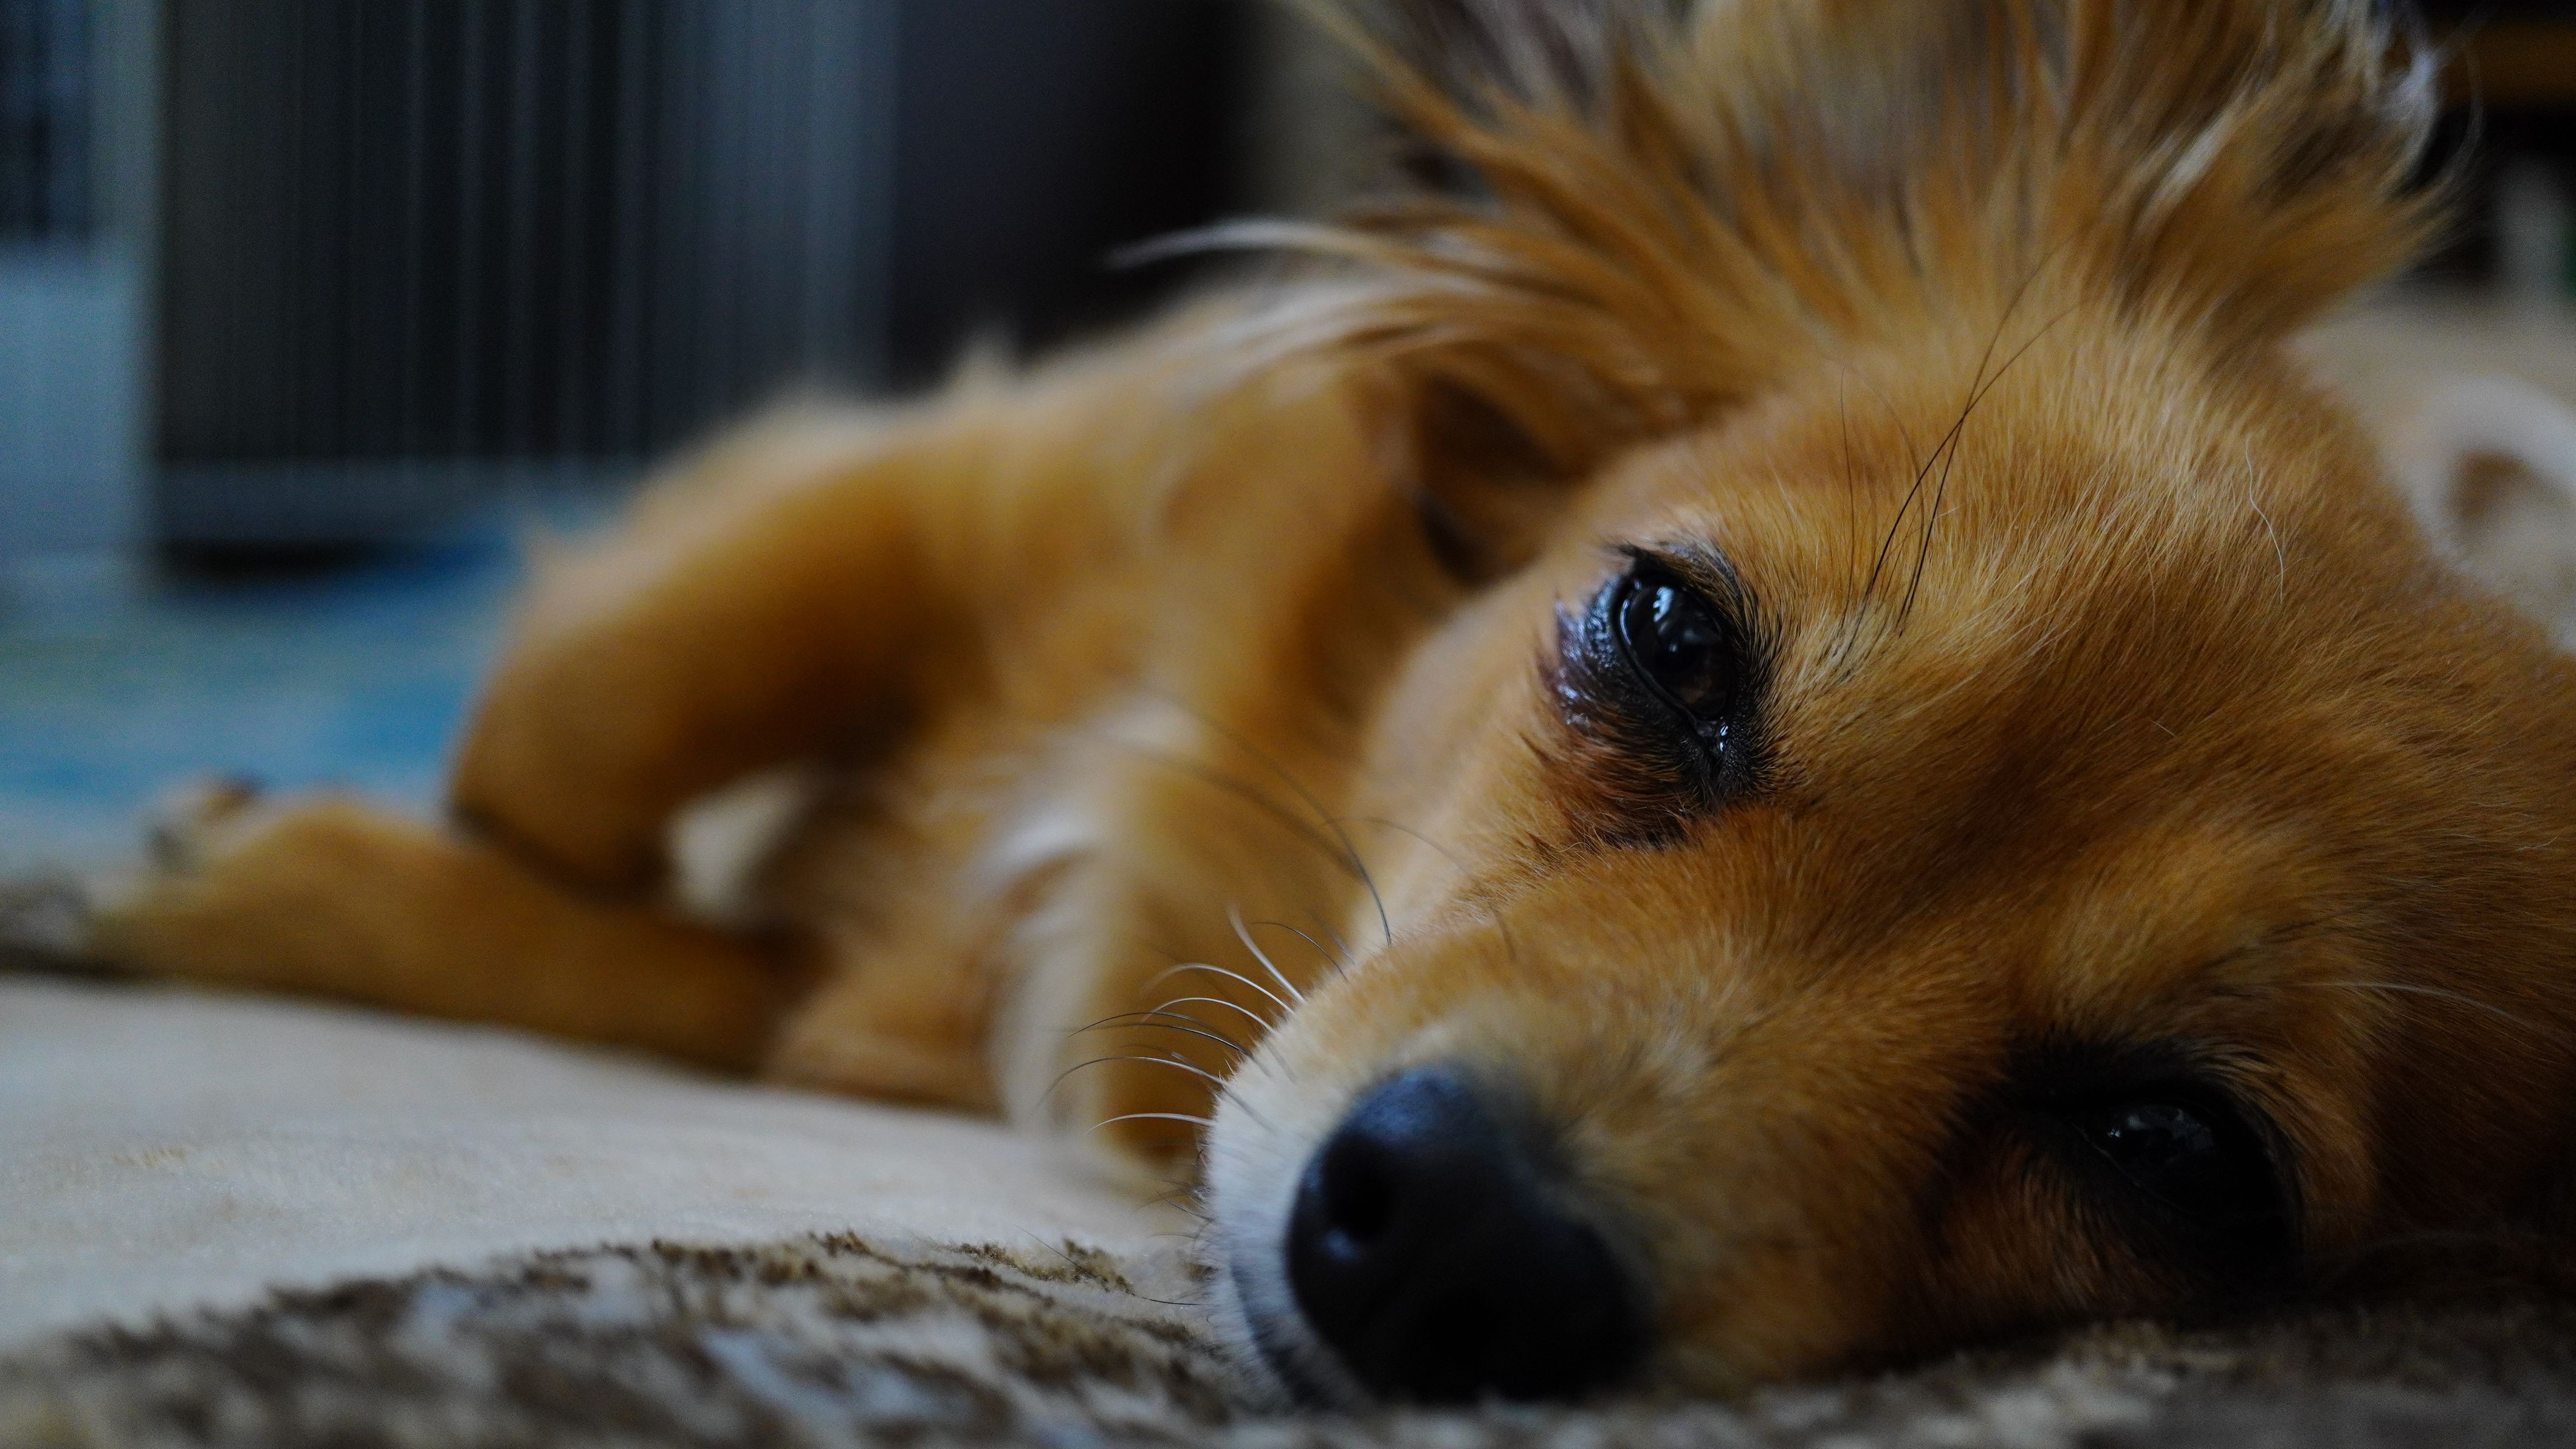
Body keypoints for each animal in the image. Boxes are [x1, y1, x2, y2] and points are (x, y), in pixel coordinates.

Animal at [84, 0, 2576, 1410]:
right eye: (1668, 636)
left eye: (2173, 1153)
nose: (1465, 1236)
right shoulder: (986, 469)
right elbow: (595, 705)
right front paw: (248, 844)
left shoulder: (866, 997)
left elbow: (687, 962)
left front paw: (278, 879)